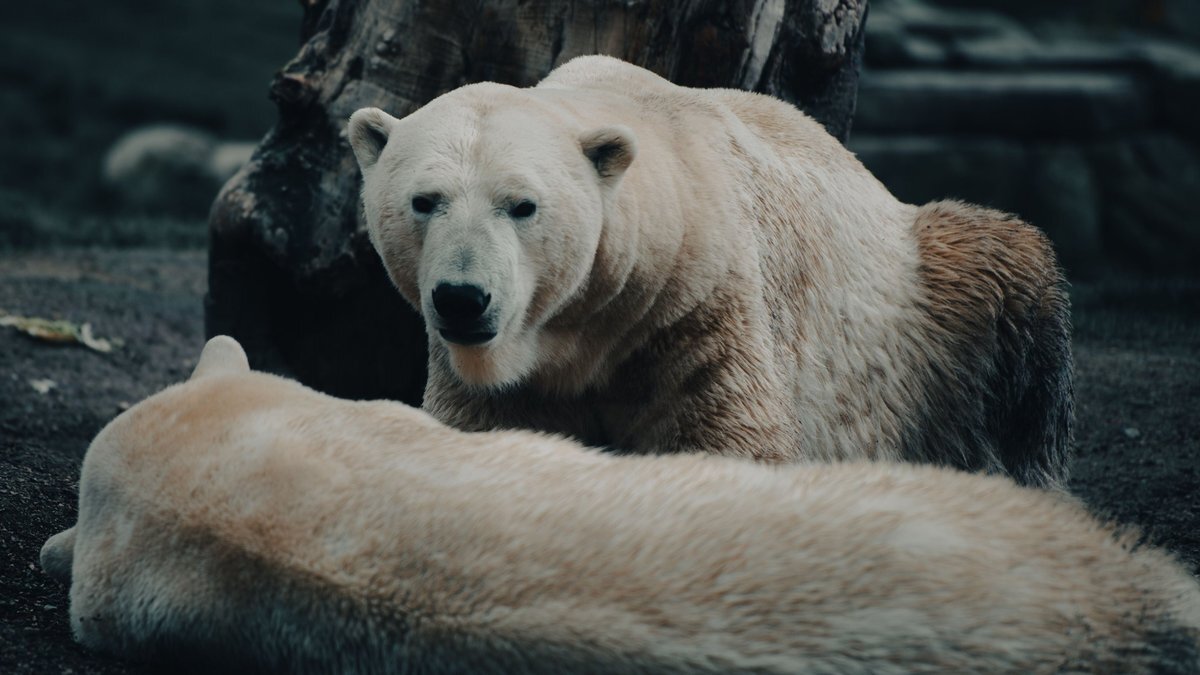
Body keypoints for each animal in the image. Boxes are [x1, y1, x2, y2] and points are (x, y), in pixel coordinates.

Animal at [348, 55, 1073, 488]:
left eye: (522, 204)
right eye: (424, 200)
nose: (462, 298)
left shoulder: (696, 313)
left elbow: (727, 441)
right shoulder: (495, 378)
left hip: (930, 310)